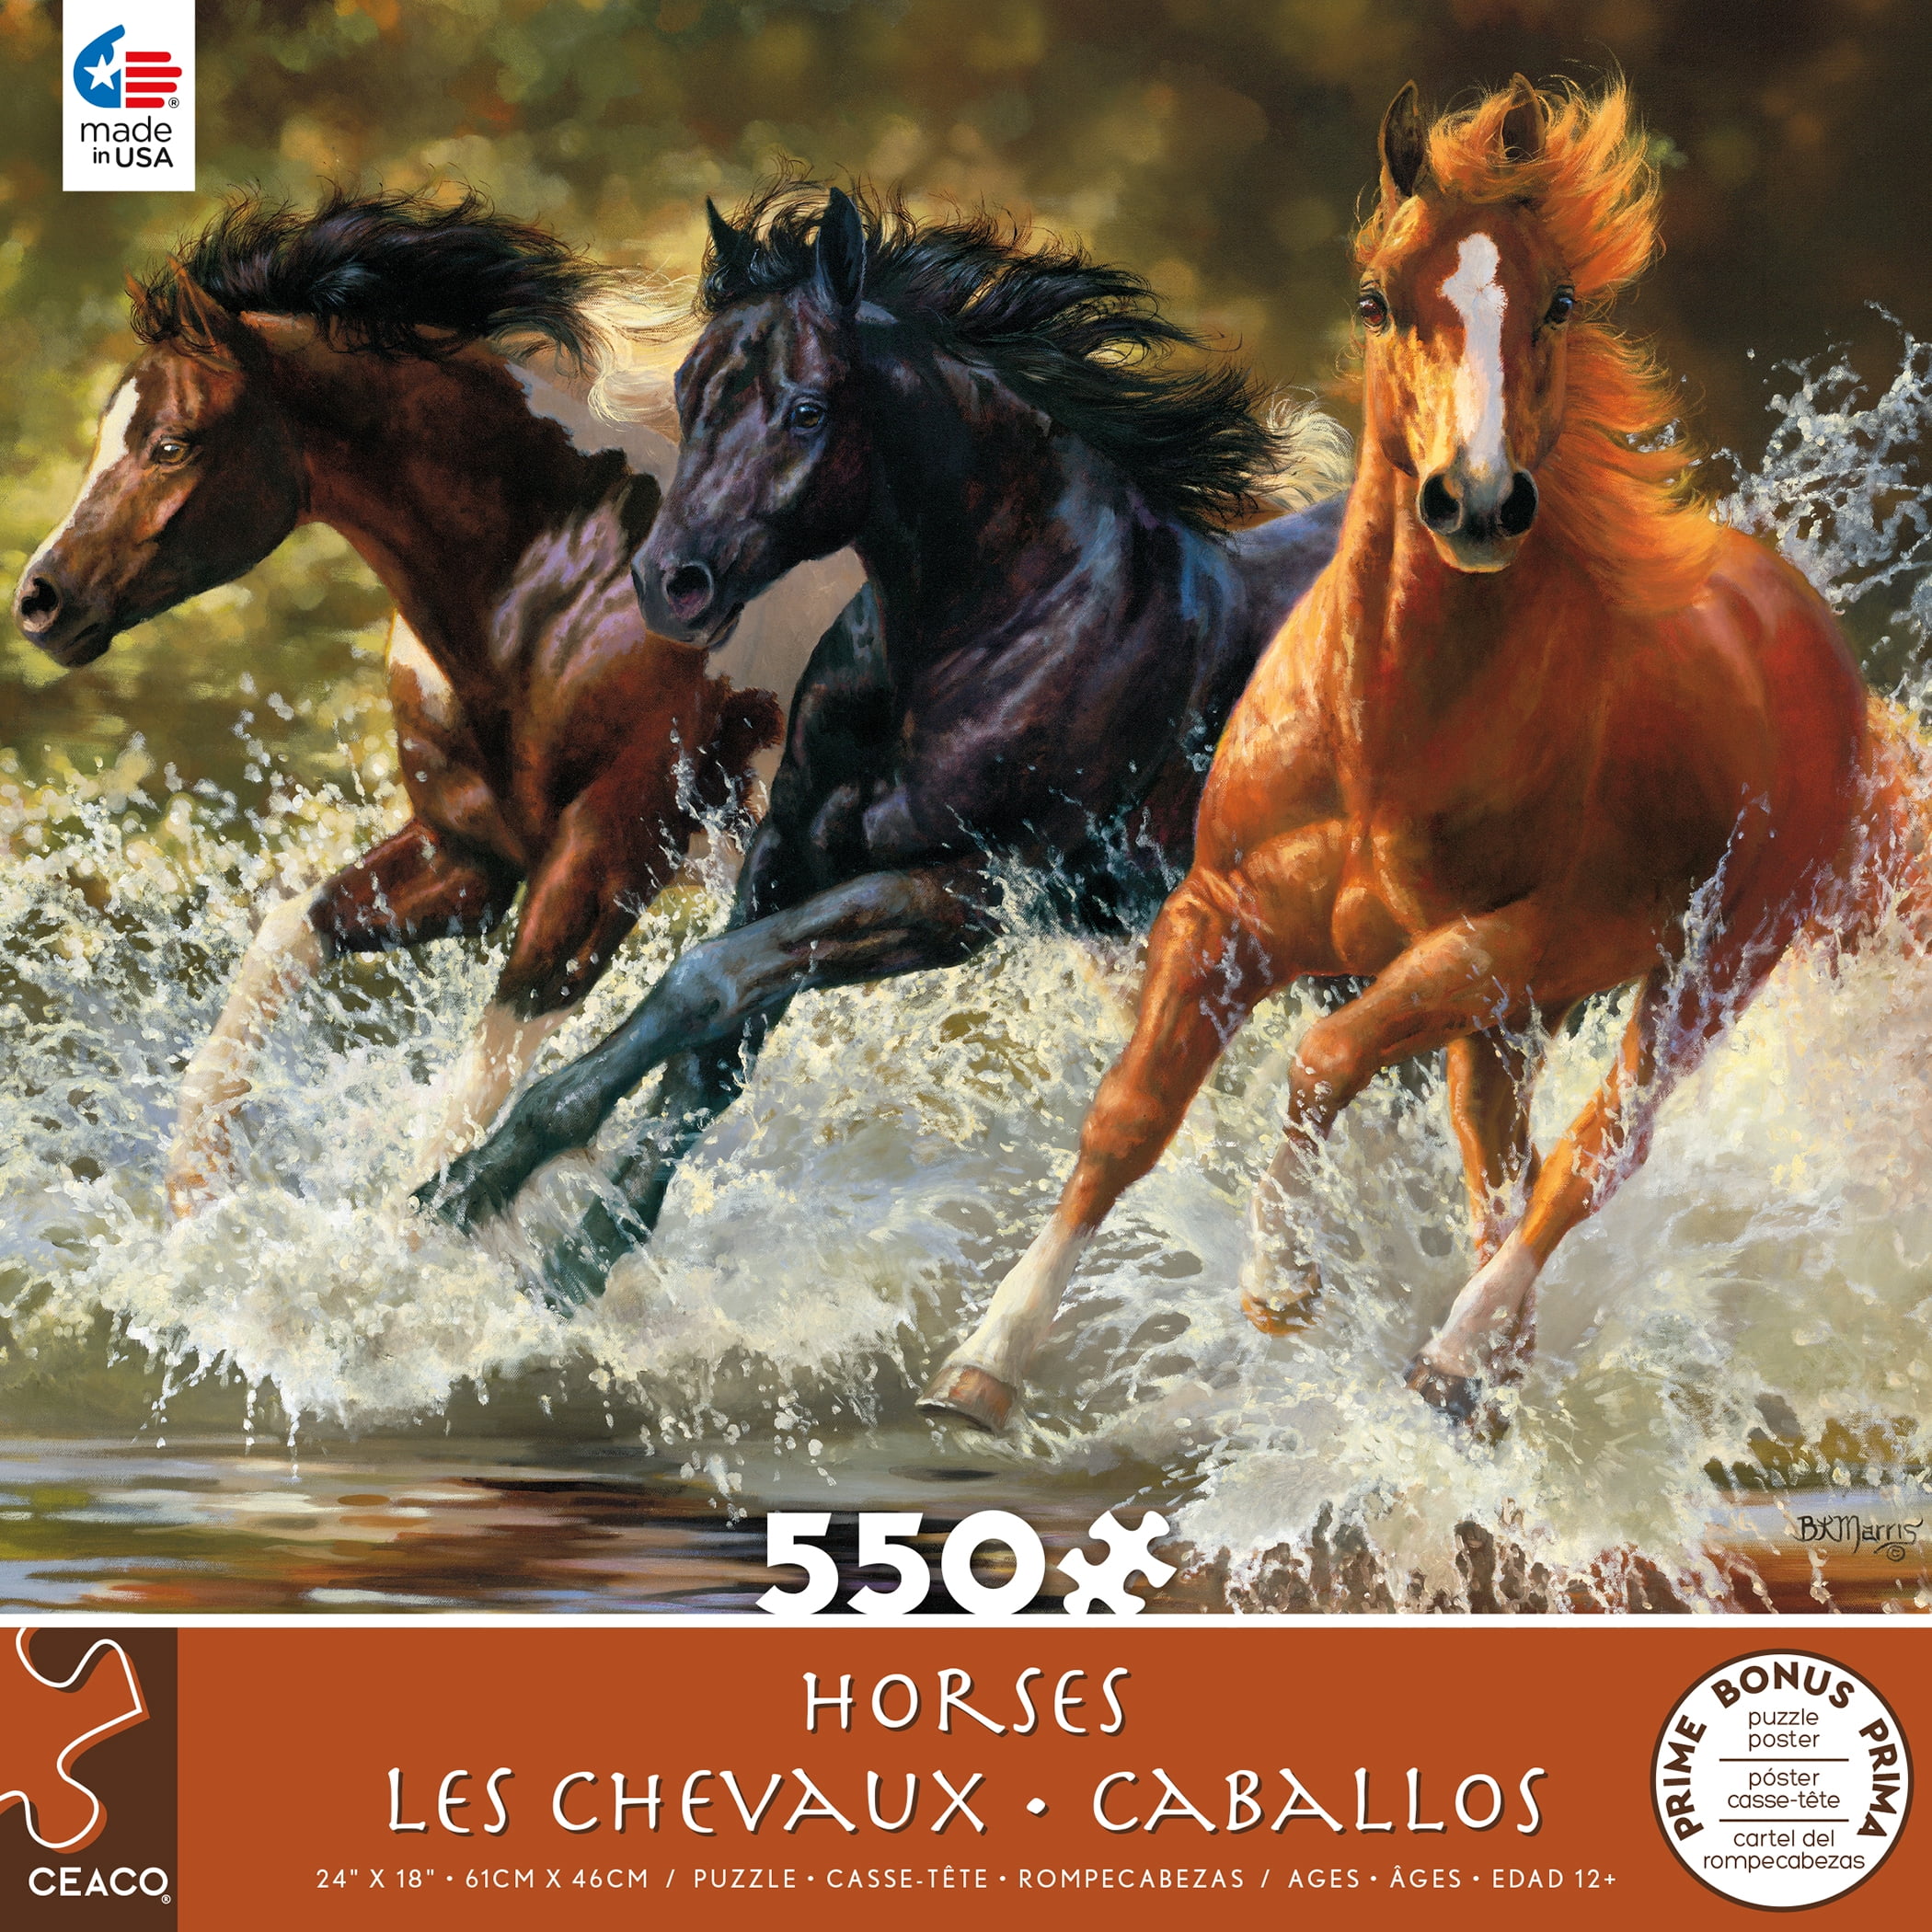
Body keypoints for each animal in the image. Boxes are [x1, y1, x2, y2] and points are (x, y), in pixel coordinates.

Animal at [10, 189, 858, 1216]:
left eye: (172, 443)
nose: (40, 600)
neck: (562, 586)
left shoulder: (604, 863)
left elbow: (467, 1103)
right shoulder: (470, 853)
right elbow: (288, 934)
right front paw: (198, 1193)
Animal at [418, 181, 1350, 1311]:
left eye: (808, 409)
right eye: (689, 391)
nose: (669, 583)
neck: (996, 630)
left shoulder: (963, 895)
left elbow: (703, 983)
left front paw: (486, 1179)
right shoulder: (793, 855)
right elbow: (714, 1051)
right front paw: (577, 1254)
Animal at [918, 76, 1932, 1435]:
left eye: (1558, 300)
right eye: (1377, 299)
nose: (1477, 501)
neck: (1382, 737)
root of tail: (1814, 647)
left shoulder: (1507, 942)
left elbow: (1322, 1058)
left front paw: (1279, 1285)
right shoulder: (1221, 916)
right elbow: (1128, 1119)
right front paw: (985, 1362)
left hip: (1698, 968)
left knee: (1592, 1155)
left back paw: (1452, 1357)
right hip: (1505, 1022)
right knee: (1501, 1163)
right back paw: (1490, 1375)